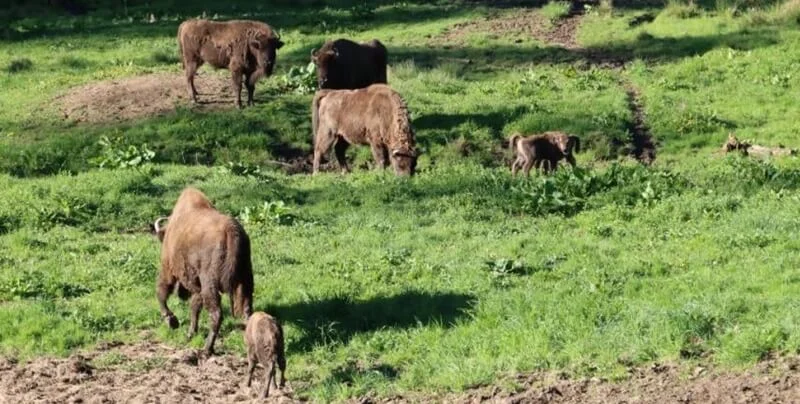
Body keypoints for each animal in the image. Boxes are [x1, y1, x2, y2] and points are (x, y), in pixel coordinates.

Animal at [152, 188, 253, 356]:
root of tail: (231, 231)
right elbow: (195, 307)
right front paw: (190, 332)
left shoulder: (168, 268)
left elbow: (162, 291)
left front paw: (172, 321)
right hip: (246, 280)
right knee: (247, 311)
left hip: (210, 283)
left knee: (216, 314)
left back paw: (207, 349)